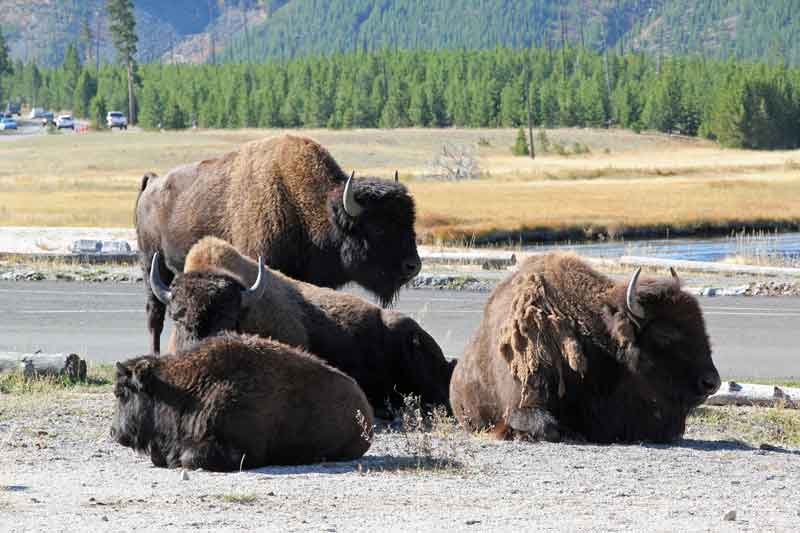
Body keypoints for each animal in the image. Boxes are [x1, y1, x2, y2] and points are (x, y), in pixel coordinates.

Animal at [136, 135, 424, 354]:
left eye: (410, 221)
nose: (413, 266)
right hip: (153, 264)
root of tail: (152, 184)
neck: (309, 209)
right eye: (377, 226)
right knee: (154, 315)